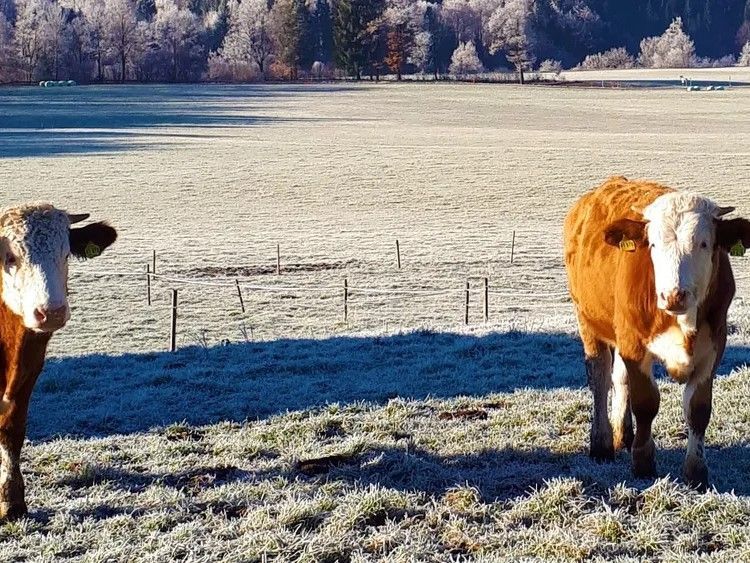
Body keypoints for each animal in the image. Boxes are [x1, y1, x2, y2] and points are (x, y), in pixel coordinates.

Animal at [0, 204, 116, 519]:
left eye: (65, 254)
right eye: (10, 257)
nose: (50, 312)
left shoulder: (27, 378)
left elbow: (12, 432)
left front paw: (13, 502)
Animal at [564, 176, 750, 490]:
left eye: (704, 243)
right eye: (652, 243)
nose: (674, 295)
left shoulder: (714, 346)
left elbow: (698, 410)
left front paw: (696, 471)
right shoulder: (633, 342)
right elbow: (646, 403)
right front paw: (643, 463)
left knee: (619, 378)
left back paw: (623, 435)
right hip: (588, 320)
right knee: (600, 377)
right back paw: (602, 443)